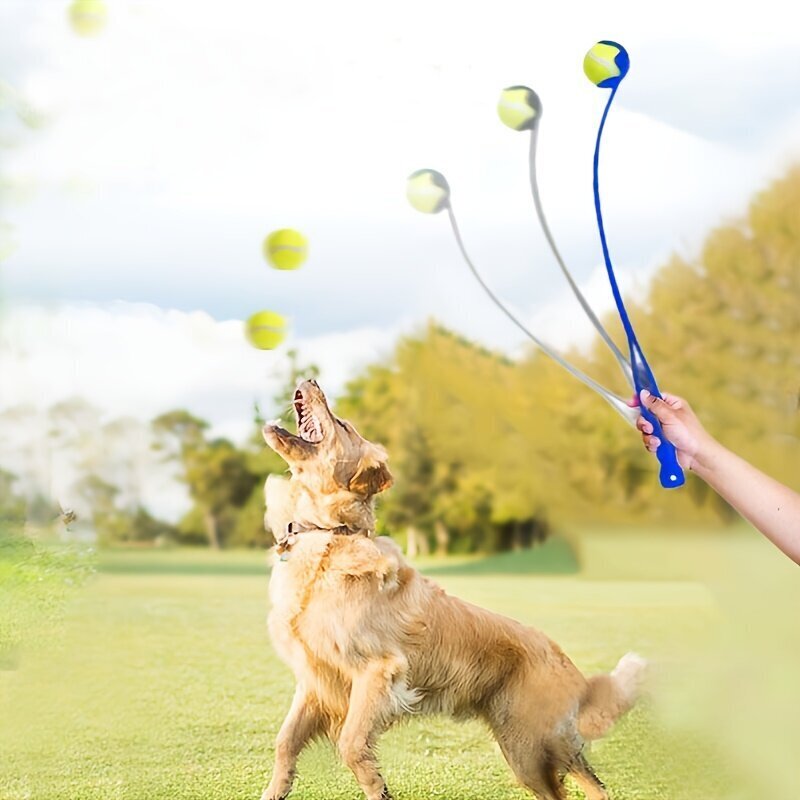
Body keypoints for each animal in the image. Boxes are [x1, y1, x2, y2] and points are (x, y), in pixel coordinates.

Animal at [260, 382, 644, 800]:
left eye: (342, 424)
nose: (311, 381)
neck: (329, 535)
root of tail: (567, 662)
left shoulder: (378, 672)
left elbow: (351, 744)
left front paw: (378, 786)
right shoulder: (315, 680)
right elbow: (284, 742)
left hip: (540, 739)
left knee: (594, 784)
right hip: (522, 752)